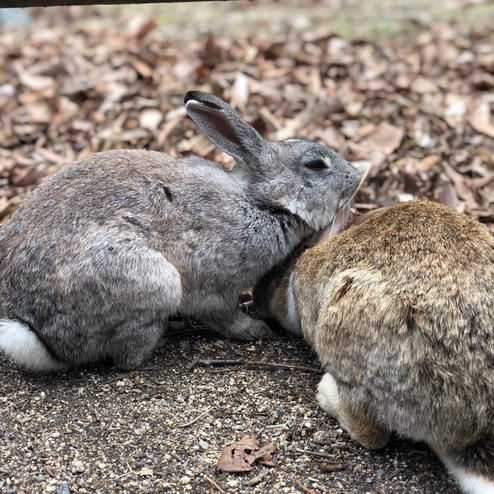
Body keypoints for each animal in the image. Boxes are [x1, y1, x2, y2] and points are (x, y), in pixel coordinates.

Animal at [0, 90, 362, 372]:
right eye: (316, 165)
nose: (356, 176)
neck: (261, 202)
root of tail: (45, 341)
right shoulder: (214, 284)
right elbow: (223, 315)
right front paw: (254, 330)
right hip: (153, 280)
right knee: (125, 359)